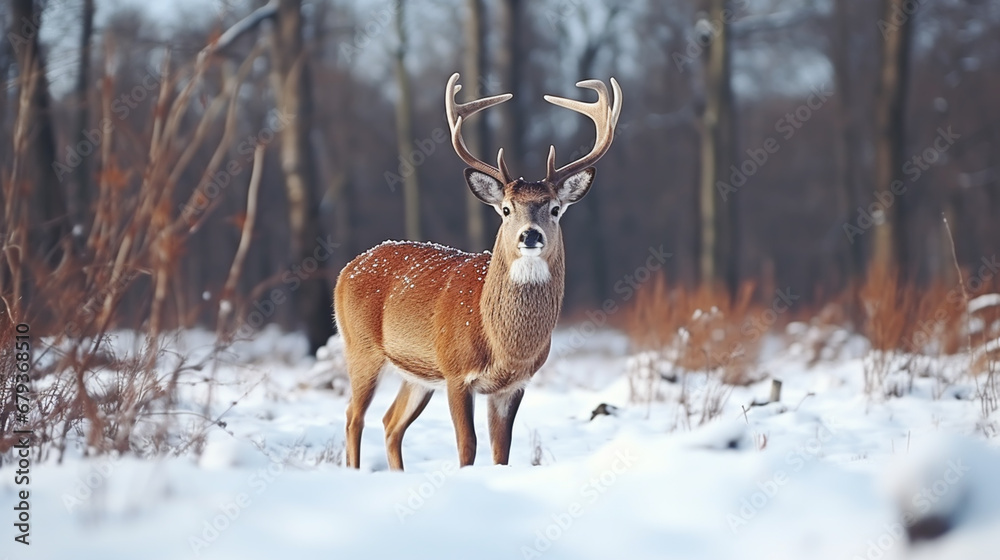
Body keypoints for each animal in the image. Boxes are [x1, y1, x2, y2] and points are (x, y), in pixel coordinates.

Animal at [335, 72, 621, 470]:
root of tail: (348, 269)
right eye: (505, 209)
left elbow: (502, 451)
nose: (530, 235)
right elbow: (466, 445)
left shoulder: (512, 385)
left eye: (554, 208)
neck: (501, 342)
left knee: (391, 422)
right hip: (360, 347)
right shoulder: (456, 372)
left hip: (418, 373)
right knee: (353, 415)